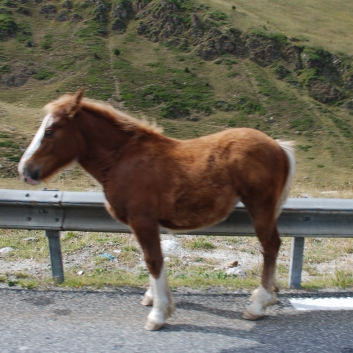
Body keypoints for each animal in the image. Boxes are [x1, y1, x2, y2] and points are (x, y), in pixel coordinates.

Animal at [18, 89, 294, 328]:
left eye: (50, 131)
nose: (25, 171)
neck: (122, 160)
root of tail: (279, 146)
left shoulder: (142, 220)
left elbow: (153, 260)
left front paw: (159, 314)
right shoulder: (145, 223)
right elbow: (151, 259)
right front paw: (153, 299)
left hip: (260, 206)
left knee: (270, 246)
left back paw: (258, 305)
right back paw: (266, 296)